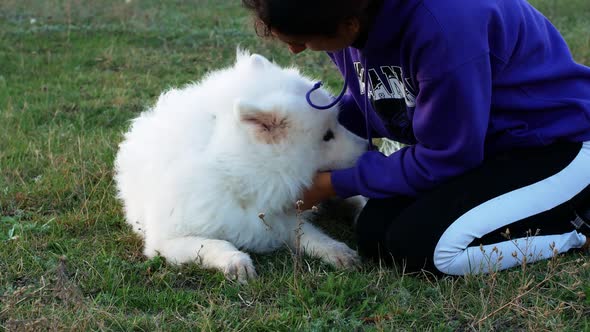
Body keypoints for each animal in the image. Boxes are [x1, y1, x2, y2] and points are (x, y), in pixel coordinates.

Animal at [113, 49, 368, 282]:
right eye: (327, 136)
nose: (367, 145)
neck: (234, 172)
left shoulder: (278, 218)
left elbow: (310, 235)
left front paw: (337, 251)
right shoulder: (166, 241)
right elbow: (216, 243)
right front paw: (237, 263)